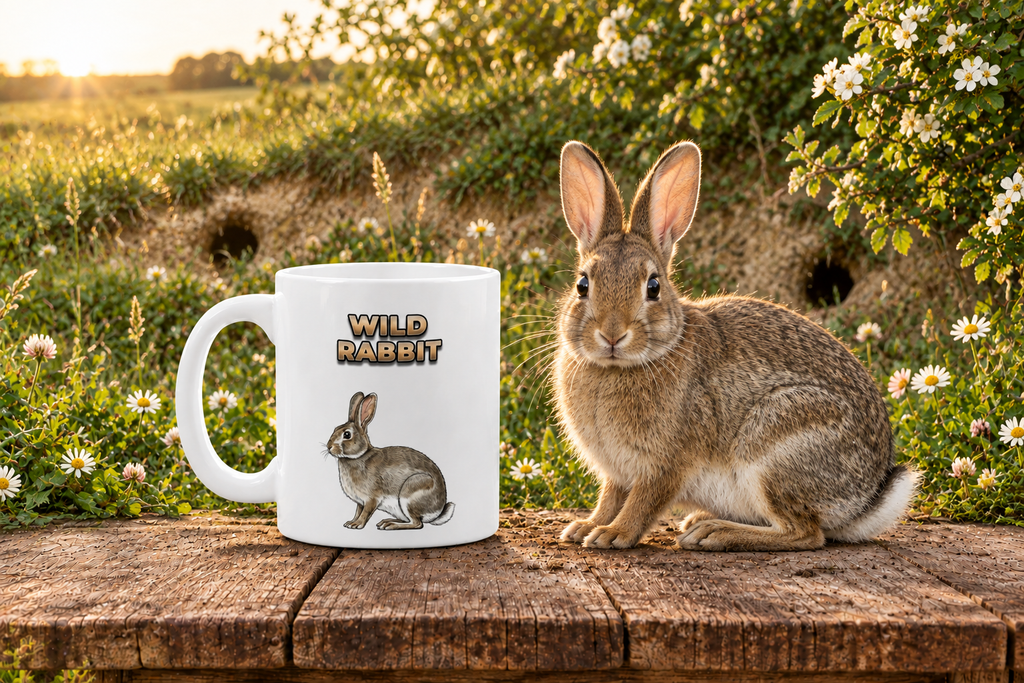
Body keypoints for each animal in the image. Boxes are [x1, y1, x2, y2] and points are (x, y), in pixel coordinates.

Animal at [326, 391, 455, 530]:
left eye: (347, 434)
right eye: (335, 429)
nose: (329, 447)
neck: (359, 456)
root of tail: (438, 511)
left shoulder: (372, 498)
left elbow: (365, 513)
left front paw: (357, 524)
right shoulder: (360, 502)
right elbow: (358, 511)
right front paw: (350, 523)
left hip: (410, 494)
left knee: (417, 523)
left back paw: (390, 525)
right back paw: (386, 521)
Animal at [553, 140, 919, 551]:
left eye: (653, 287)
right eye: (583, 284)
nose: (612, 334)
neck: (618, 367)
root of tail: (866, 499)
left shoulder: (668, 463)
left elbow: (643, 503)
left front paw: (612, 535)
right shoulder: (617, 473)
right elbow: (610, 498)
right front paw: (584, 527)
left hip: (776, 446)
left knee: (806, 534)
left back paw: (713, 532)